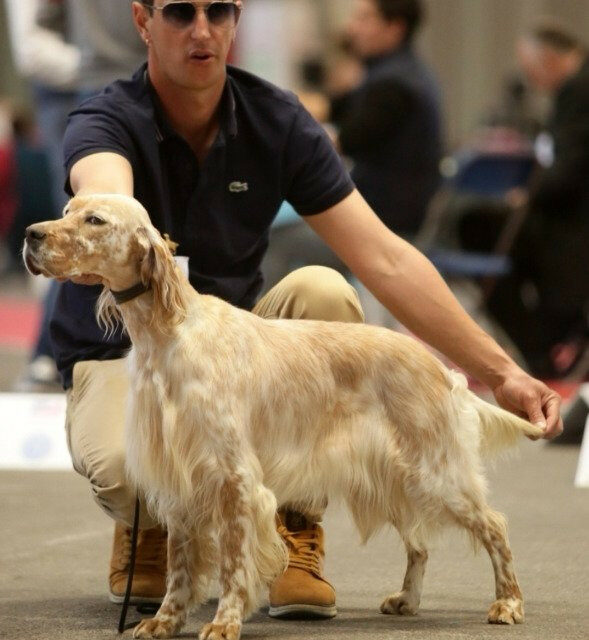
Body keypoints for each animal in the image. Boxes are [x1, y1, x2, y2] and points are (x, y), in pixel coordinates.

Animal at [26, 195, 544, 640]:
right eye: (66, 209)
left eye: (95, 220)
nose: (31, 234)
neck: (168, 334)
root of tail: (441, 367)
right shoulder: (177, 479)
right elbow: (179, 565)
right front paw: (165, 620)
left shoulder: (232, 477)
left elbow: (234, 562)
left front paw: (225, 621)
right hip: (397, 476)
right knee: (419, 541)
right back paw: (407, 600)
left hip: (434, 472)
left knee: (495, 526)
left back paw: (508, 604)